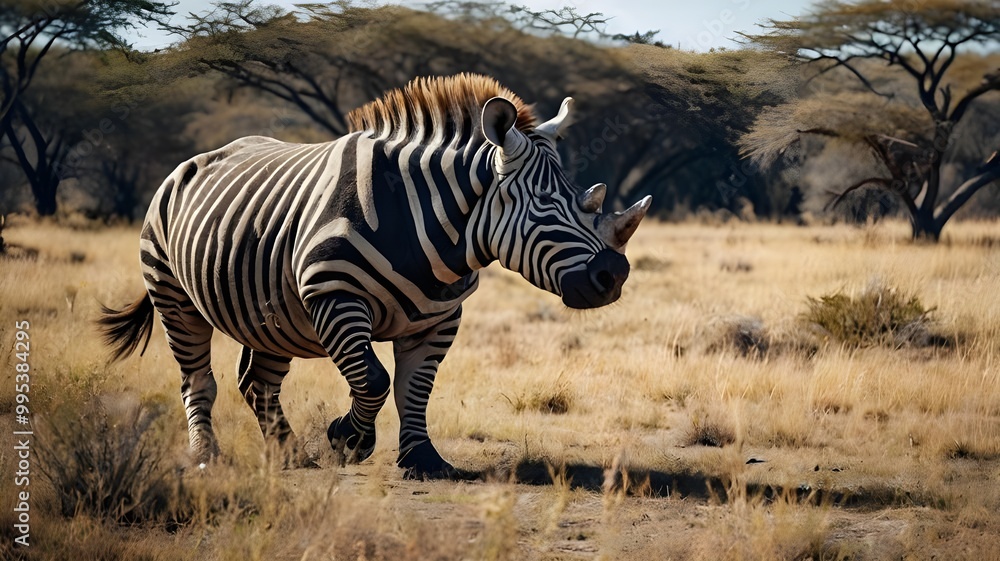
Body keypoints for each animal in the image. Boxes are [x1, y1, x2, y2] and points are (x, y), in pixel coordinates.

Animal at [99, 73, 651, 479]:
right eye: (546, 204)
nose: (614, 274)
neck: (428, 230)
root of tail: (192, 162)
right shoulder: (333, 295)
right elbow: (374, 378)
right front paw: (349, 438)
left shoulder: (440, 317)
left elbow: (415, 387)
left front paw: (423, 461)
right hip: (173, 293)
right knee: (198, 380)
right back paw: (206, 457)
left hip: (270, 312)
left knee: (258, 384)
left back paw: (289, 455)